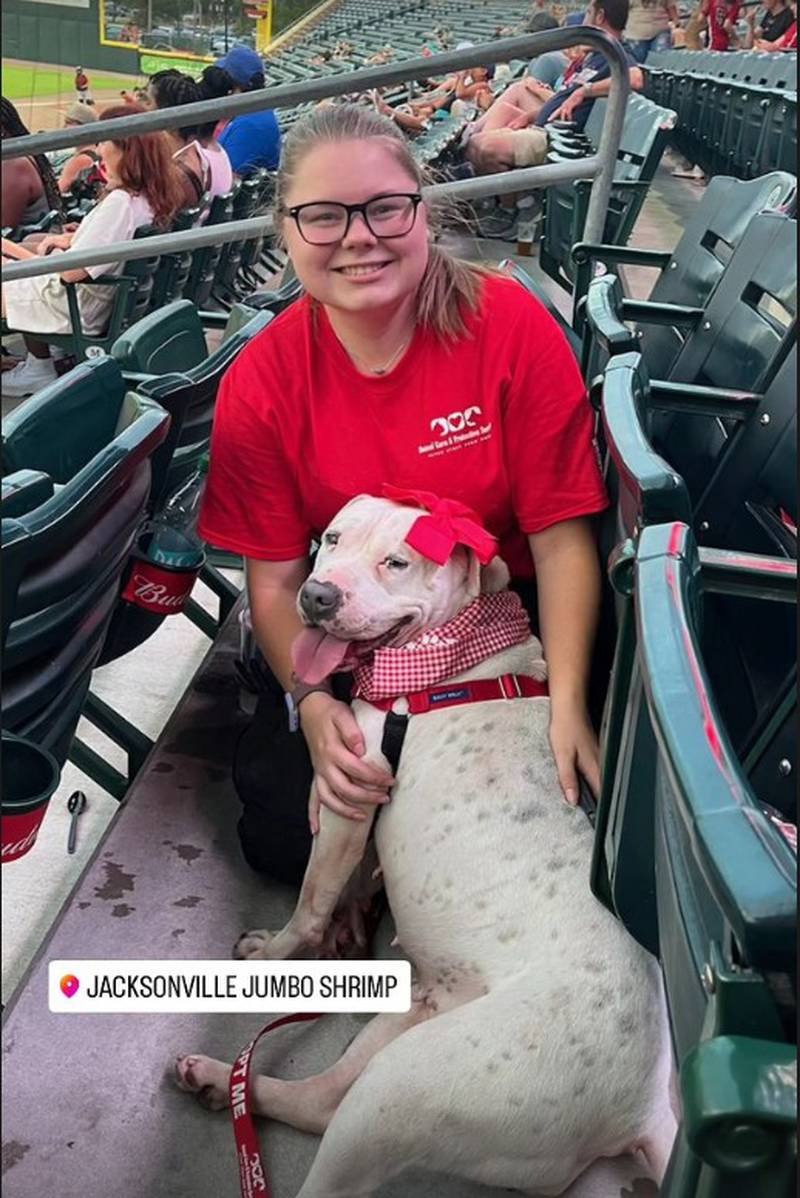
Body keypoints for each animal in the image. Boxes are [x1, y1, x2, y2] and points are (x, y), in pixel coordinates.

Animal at [174, 495, 675, 1198]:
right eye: (332, 539)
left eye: (397, 562)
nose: (318, 595)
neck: (450, 658)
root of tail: (641, 1105)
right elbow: (349, 884)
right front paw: (351, 923)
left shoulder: (350, 799)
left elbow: (311, 901)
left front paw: (276, 953)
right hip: (409, 1021)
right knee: (319, 1101)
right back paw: (221, 1082)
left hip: (407, 1089)